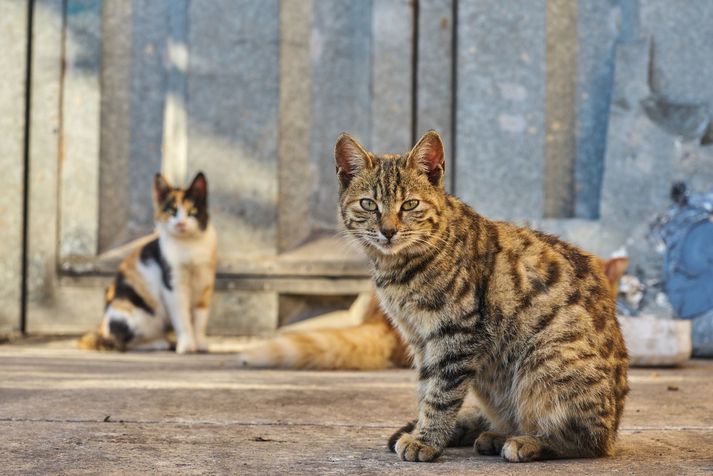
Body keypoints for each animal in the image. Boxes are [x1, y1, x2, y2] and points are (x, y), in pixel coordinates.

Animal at [78, 172, 217, 354]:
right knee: (123, 343)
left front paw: (200, 343)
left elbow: (200, 318)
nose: (181, 223)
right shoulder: (173, 284)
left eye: (192, 211)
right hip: (138, 314)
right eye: (171, 211)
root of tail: (102, 328)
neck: (190, 245)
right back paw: (159, 343)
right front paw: (187, 345)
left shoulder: (205, 283)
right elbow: (182, 317)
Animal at [330, 130, 624, 462]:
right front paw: (424, 431)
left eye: (410, 204)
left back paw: (528, 441)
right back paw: (496, 434)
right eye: (369, 204)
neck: (400, 268)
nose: (388, 231)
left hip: (547, 359)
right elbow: (426, 389)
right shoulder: (420, 339)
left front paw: (426, 439)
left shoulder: (456, 333)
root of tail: (614, 429)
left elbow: (441, 394)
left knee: (586, 440)